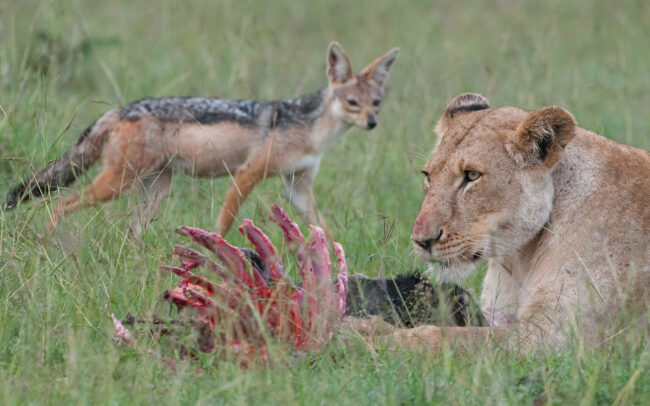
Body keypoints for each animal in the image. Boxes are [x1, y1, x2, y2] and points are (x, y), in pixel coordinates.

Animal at [350, 93, 650, 353]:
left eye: (472, 175)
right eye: (428, 175)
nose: (422, 241)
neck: (521, 257)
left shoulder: (554, 338)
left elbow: (445, 339)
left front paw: (358, 336)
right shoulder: (497, 312)